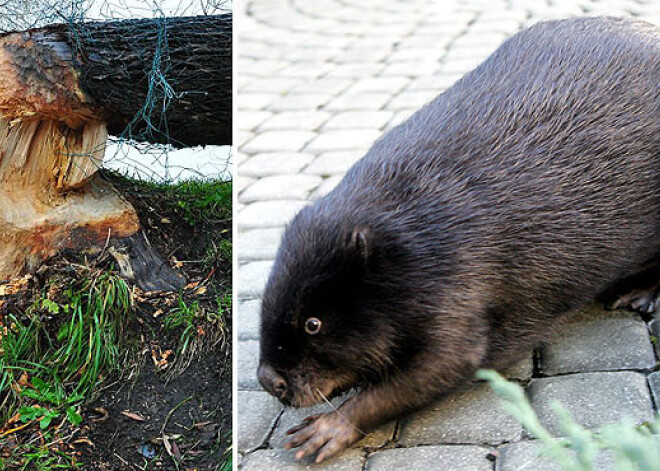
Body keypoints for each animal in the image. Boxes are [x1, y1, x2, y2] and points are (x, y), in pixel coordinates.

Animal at [255, 16, 656, 462]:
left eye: (313, 323)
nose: (268, 380)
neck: (404, 232)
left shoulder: (456, 284)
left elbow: (448, 363)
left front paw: (322, 431)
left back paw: (637, 295)